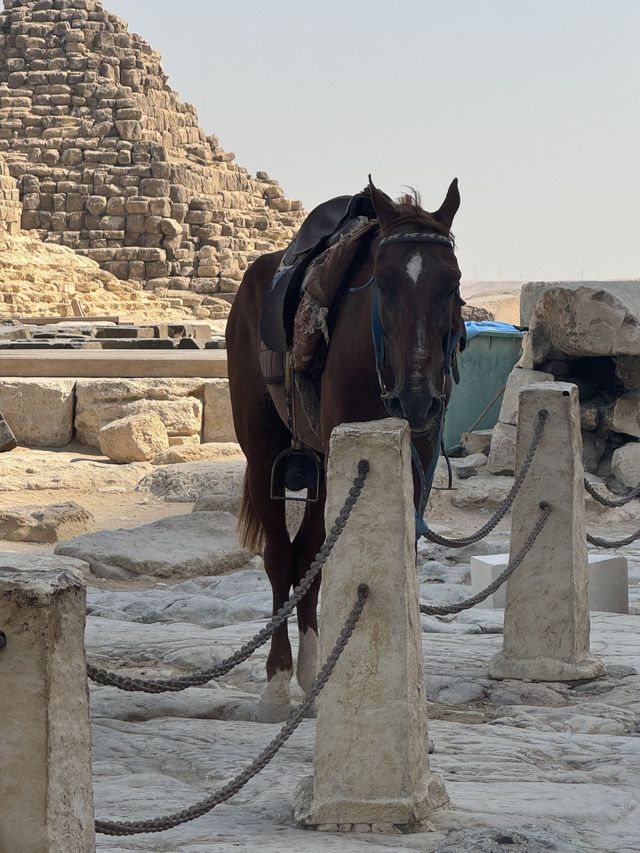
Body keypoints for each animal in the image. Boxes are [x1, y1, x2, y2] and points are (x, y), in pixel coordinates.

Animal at [228, 178, 462, 720]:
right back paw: (279, 684)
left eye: (454, 283)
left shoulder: (413, 459)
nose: (416, 398)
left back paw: (313, 674)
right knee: (281, 558)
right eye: (383, 283)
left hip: (319, 462)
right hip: (265, 455)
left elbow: (395, 554)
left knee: (308, 555)